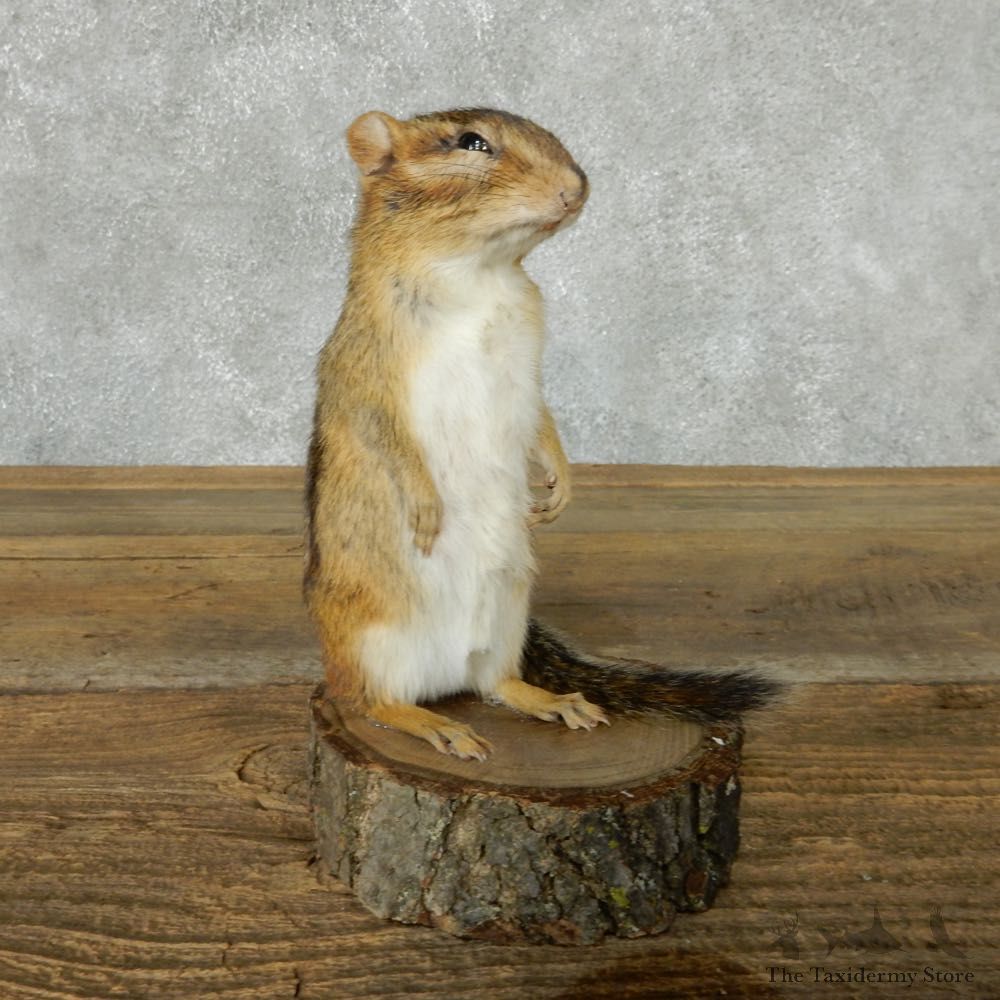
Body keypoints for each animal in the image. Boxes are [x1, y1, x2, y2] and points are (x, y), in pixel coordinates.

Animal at [305, 107, 778, 761]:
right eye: (471, 142)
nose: (576, 189)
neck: (478, 275)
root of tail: (442, 677)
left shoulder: (529, 373)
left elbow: (544, 419)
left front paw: (560, 484)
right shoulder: (362, 367)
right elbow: (385, 433)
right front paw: (425, 505)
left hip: (506, 614)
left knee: (494, 684)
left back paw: (552, 701)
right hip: (367, 641)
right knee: (370, 702)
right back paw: (433, 724)